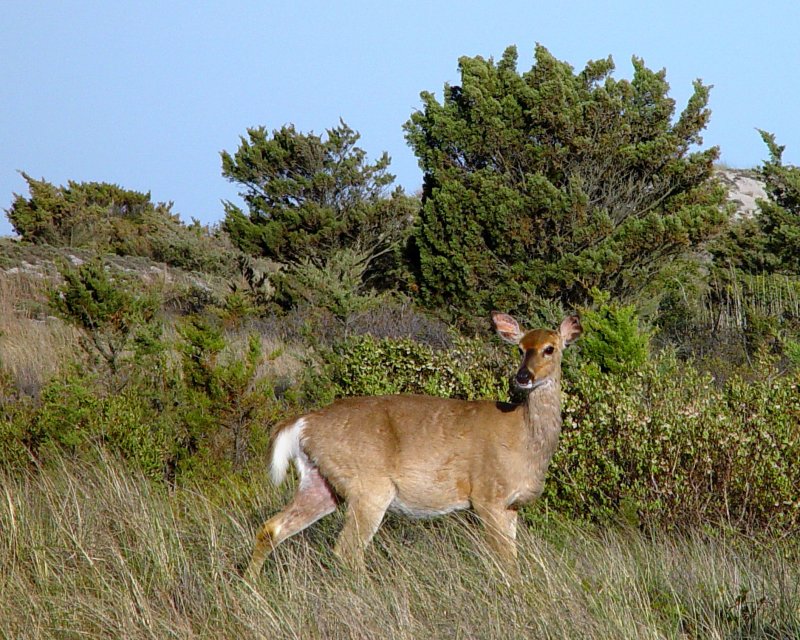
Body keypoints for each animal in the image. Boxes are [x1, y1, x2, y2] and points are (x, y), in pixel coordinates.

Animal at [245, 312, 580, 576]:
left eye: (550, 348)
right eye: (520, 348)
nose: (523, 376)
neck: (524, 439)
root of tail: (305, 422)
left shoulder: (511, 506)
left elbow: (513, 561)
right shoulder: (488, 496)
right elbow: (505, 562)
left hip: (321, 481)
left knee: (272, 528)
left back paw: (251, 585)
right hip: (369, 485)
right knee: (347, 549)